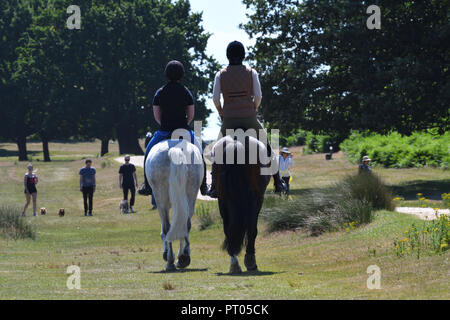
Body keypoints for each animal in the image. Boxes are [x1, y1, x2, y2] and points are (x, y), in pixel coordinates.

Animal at [147, 139, 203, 272]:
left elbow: (164, 231)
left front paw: (167, 255)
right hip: (191, 193)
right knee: (185, 225)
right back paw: (183, 258)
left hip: (160, 198)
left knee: (167, 227)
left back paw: (170, 261)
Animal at [212, 134, 270, 272]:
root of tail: (236, 143)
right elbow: (252, 229)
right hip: (255, 198)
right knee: (251, 228)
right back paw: (249, 261)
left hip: (222, 200)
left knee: (227, 229)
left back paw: (234, 263)